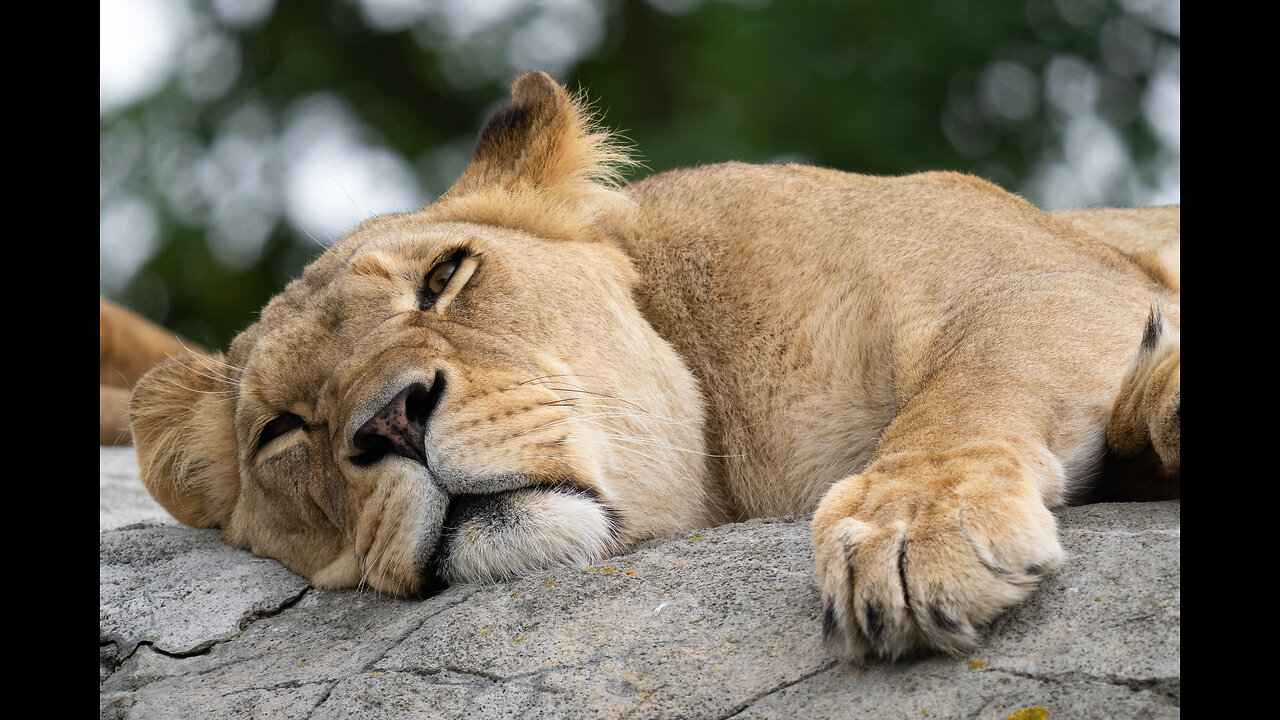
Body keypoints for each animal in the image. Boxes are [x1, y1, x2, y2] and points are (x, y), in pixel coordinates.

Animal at [127, 70, 1177, 661]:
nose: (391, 419)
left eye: (443, 277)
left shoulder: (1043, 271)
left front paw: (912, 530)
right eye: (280, 431)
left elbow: (970, 387)